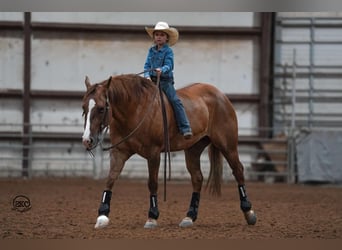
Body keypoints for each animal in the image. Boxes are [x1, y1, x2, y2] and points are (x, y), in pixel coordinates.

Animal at [81, 73, 255, 229]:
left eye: (101, 108)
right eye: (84, 107)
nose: (87, 140)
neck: (136, 110)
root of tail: (220, 95)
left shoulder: (153, 154)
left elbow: (152, 183)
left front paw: (152, 217)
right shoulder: (119, 152)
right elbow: (110, 179)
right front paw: (102, 215)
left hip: (228, 145)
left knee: (238, 171)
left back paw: (249, 212)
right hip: (193, 150)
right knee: (197, 178)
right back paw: (189, 216)